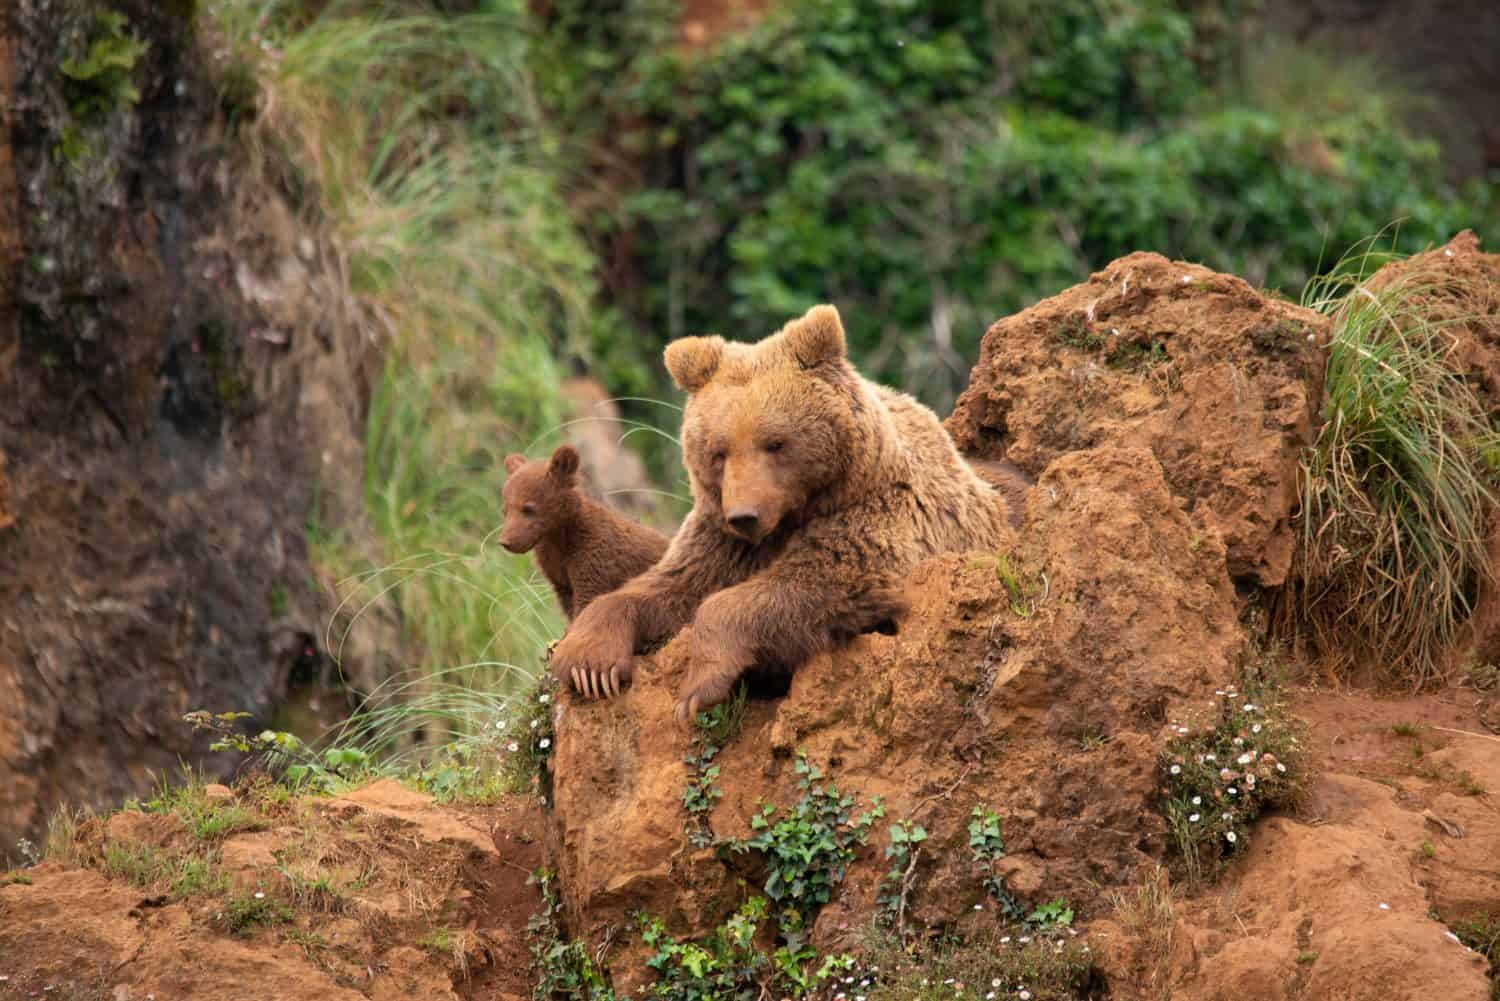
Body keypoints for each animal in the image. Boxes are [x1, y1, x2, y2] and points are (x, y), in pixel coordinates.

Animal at [500, 445, 670, 621]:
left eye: (528, 509)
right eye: (505, 510)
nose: (505, 541)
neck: (560, 538)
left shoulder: (594, 562)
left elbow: (586, 603)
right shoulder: (558, 574)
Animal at [548, 304, 1015, 720]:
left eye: (775, 442)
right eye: (719, 450)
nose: (744, 515)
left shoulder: (877, 520)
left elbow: (812, 586)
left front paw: (698, 688)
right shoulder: (720, 541)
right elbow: (668, 586)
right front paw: (588, 663)